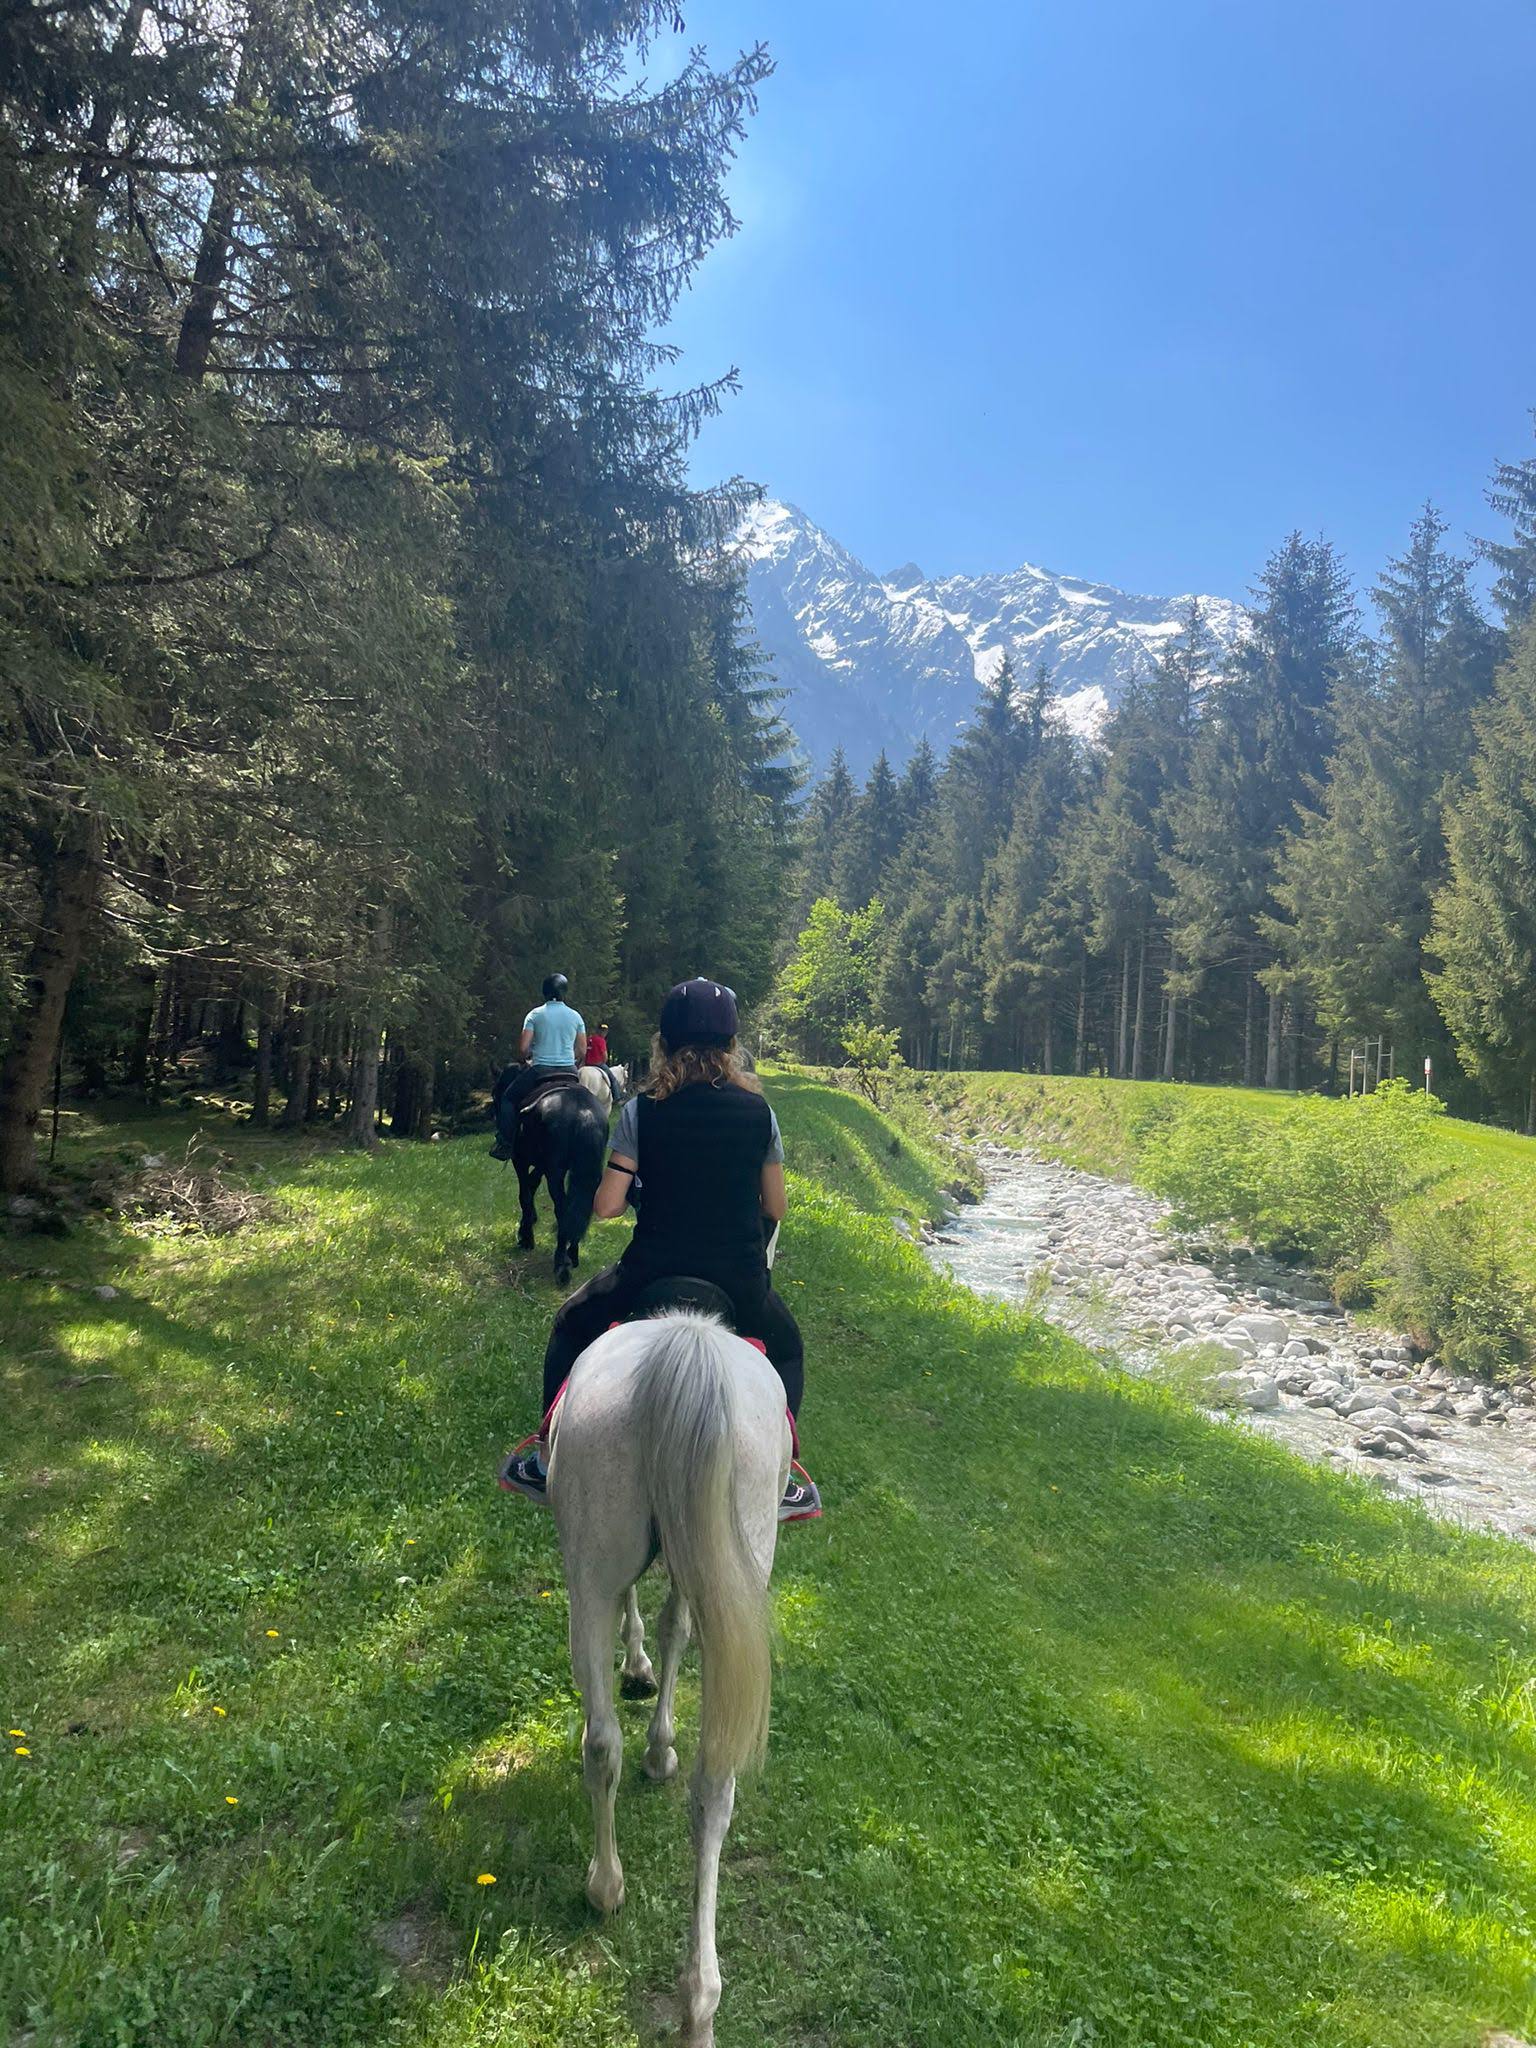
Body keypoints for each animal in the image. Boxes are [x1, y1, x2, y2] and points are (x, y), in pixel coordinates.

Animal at [512, 1089, 606, 1277]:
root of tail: (584, 1112)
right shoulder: (542, 1165)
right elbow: (532, 1185)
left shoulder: (520, 1160)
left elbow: (525, 1195)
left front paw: (526, 1238)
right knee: (579, 1208)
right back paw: (573, 1255)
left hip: (555, 1173)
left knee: (562, 1209)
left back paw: (561, 1264)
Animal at [548, 1302, 786, 2039]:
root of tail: (689, 1342)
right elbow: (674, 1626)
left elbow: (657, 1621)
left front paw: (639, 1673)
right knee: (710, 1788)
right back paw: (698, 2000)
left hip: (592, 1572)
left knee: (603, 1743)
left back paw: (609, 1890)